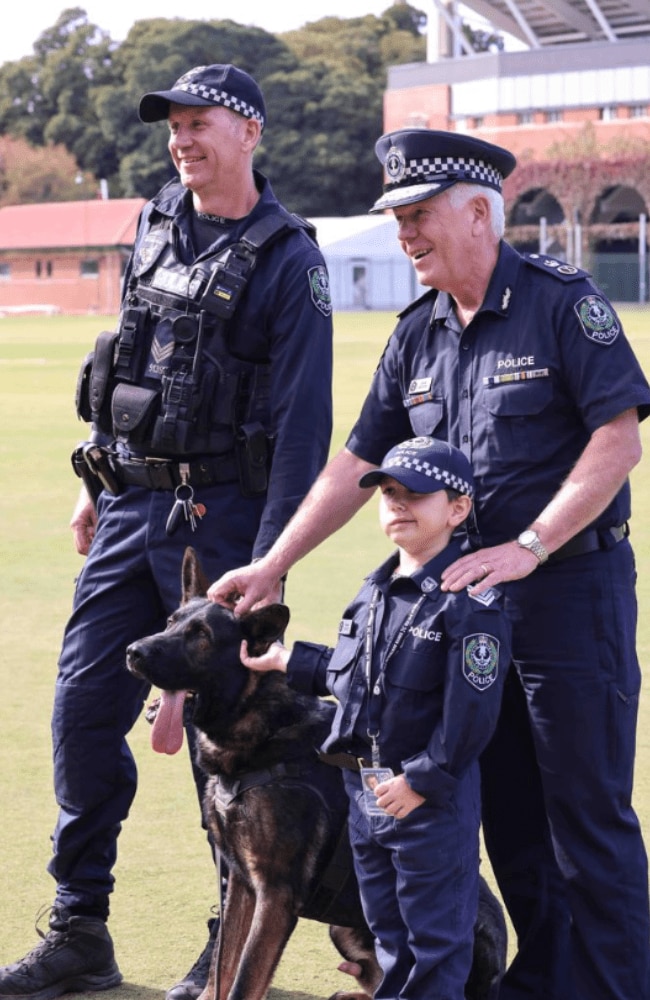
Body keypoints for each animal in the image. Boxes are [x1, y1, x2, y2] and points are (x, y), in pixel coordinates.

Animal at [124, 548, 504, 1000]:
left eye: (200, 635)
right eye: (170, 622)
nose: (132, 651)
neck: (260, 726)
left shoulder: (274, 894)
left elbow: (244, 979)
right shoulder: (241, 884)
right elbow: (222, 968)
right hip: (344, 929)